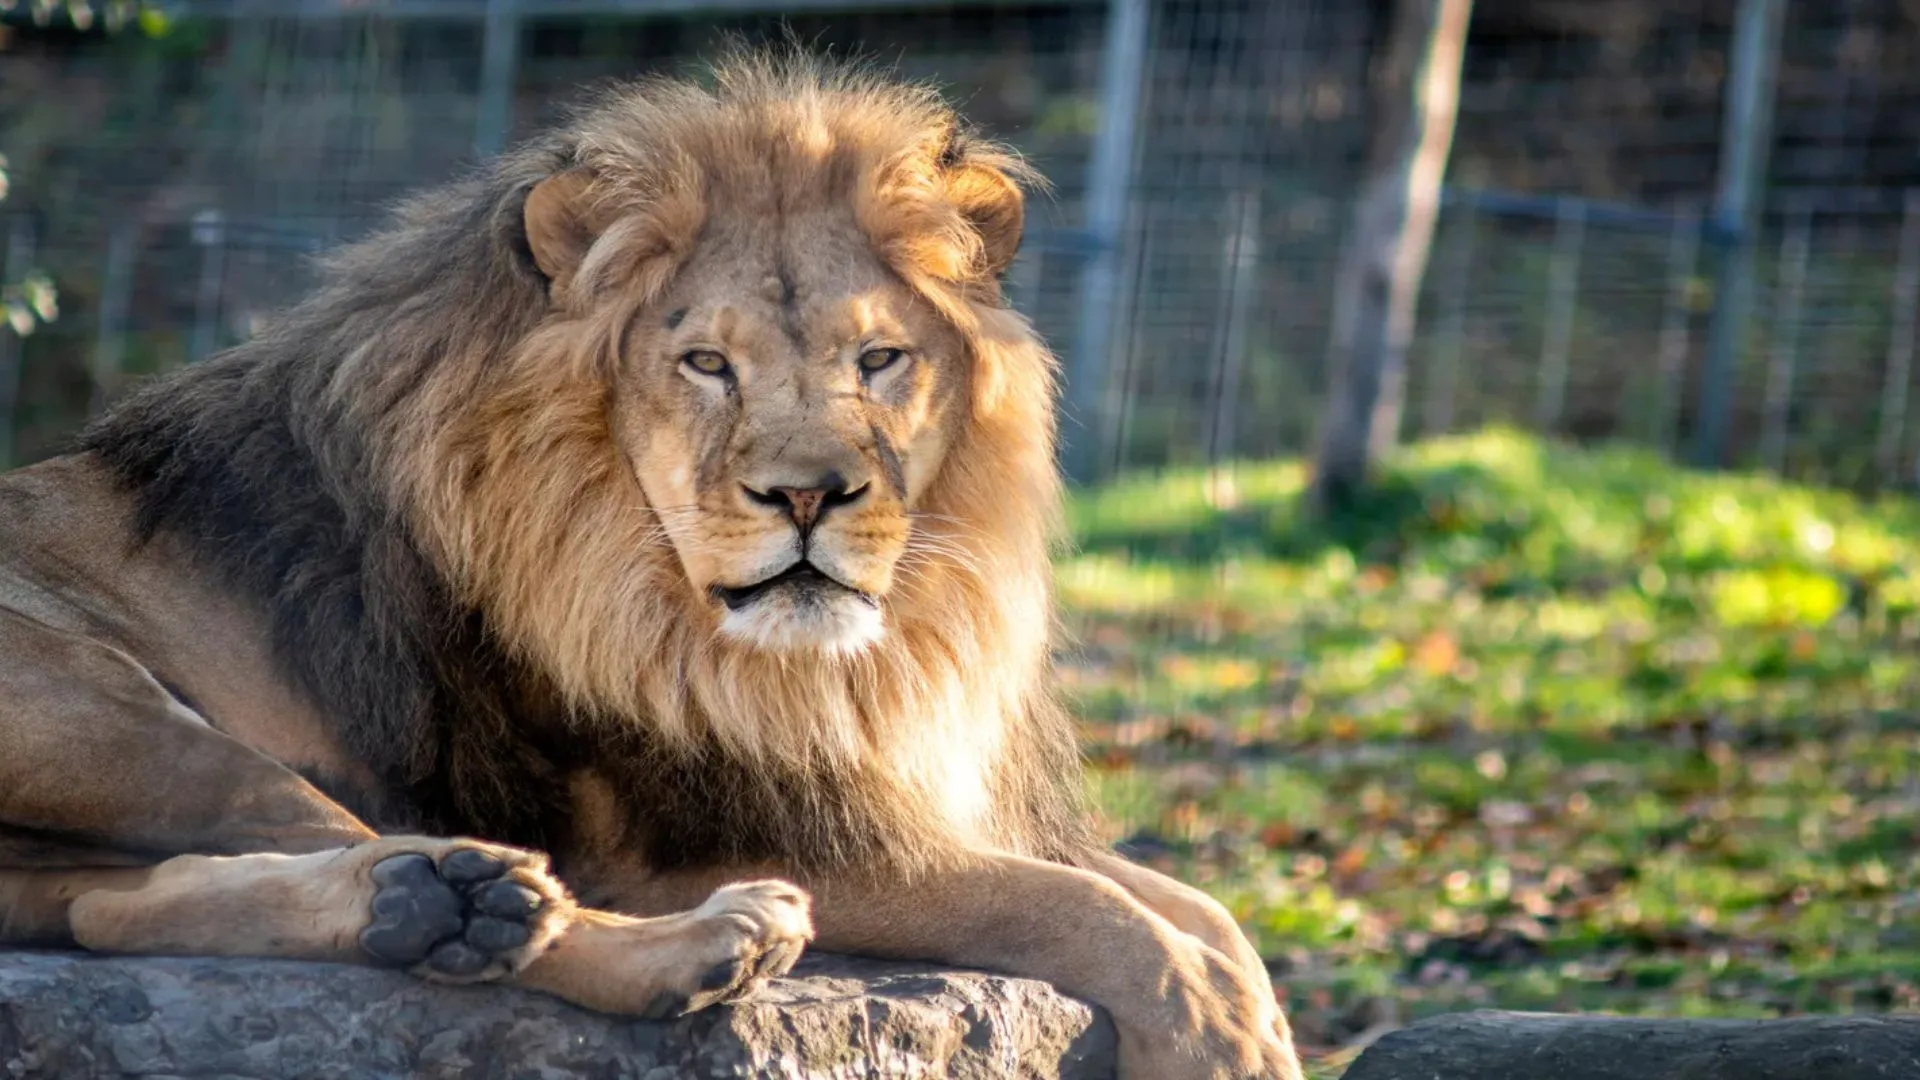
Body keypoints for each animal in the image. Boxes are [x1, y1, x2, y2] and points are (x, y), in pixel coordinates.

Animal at [0, 50, 1305, 1076]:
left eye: (879, 359)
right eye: (706, 364)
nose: (807, 495)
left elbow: (1196, 907)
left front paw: (1251, 1011)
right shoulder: (690, 837)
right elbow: (1093, 910)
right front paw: (1216, 1039)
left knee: (120, 906)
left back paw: (433, 913)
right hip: (118, 719)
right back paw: (669, 941)